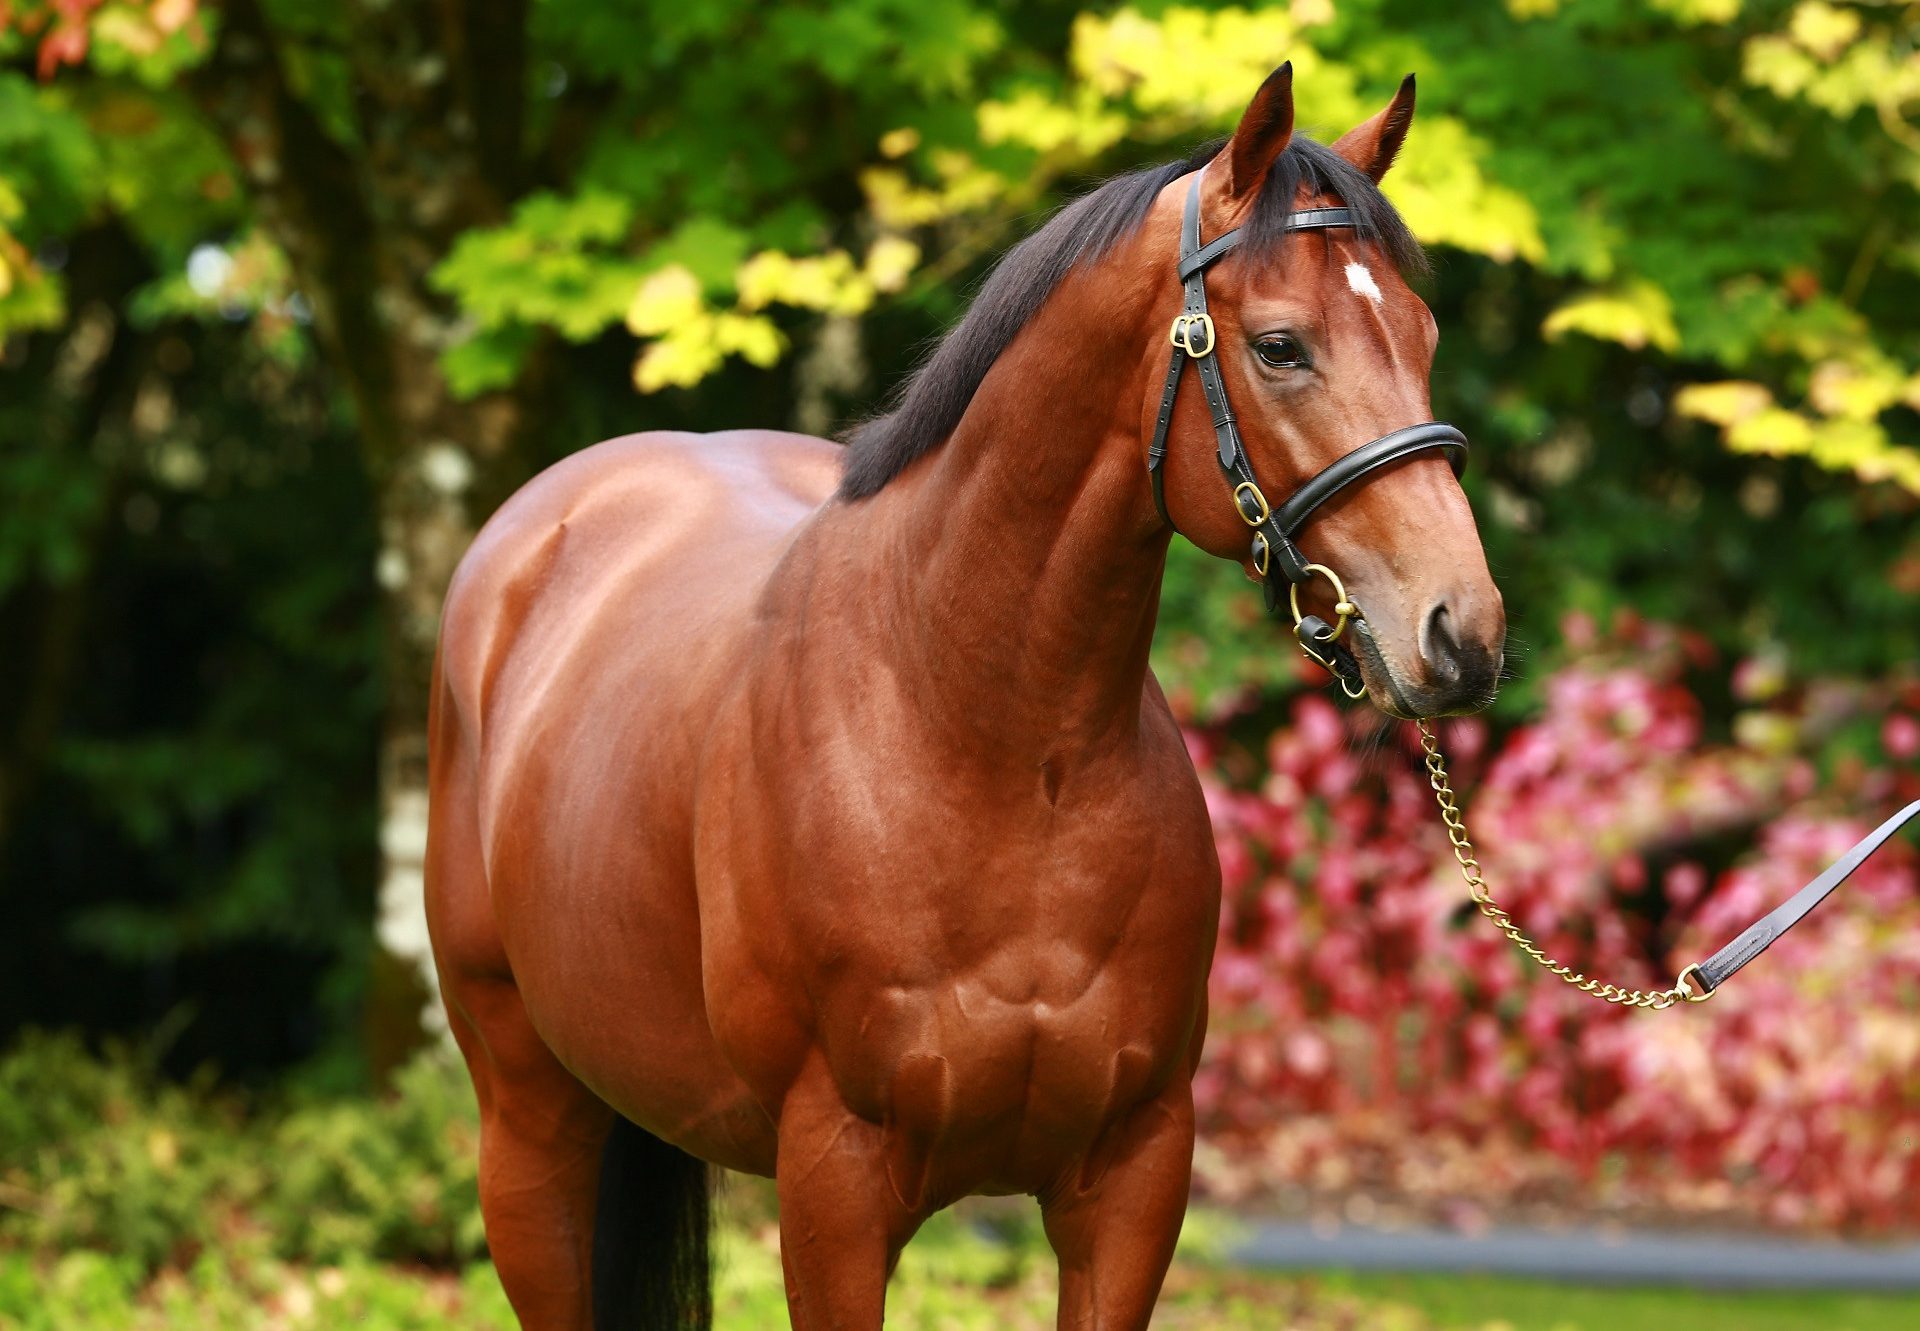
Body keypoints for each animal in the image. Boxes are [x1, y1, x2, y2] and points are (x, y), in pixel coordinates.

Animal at [428, 64, 1505, 1329]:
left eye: (1423, 334)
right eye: (1282, 346)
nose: (1462, 630)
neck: (992, 746)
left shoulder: (1132, 1175)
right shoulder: (835, 1182)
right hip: (530, 1127)